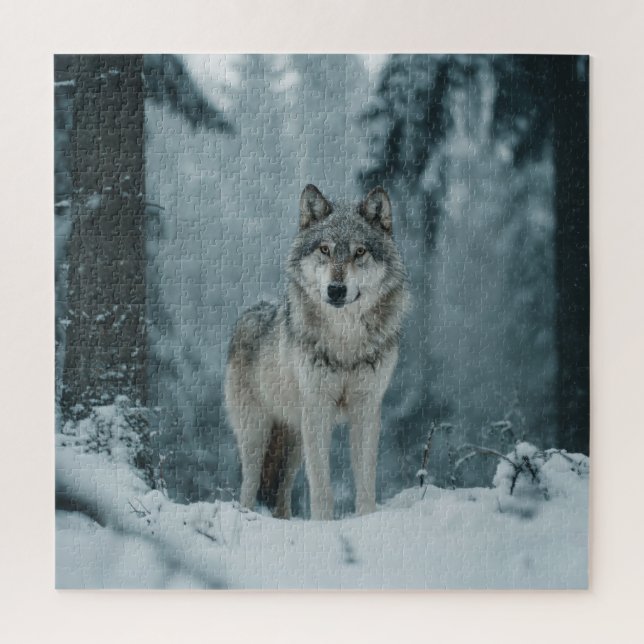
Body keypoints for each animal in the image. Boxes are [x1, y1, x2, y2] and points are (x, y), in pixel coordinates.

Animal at [225, 184, 409, 520]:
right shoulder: (318, 409)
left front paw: (366, 519)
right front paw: (324, 523)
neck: (345, 341)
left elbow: (365, 480)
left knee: (281, 492)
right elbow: (322, 486)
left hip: (294, 441)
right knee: (248, 486)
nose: (336, 290)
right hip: (258, 434)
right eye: (324, 249)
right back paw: (248, 515)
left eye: (359, 252)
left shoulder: (366, 408)